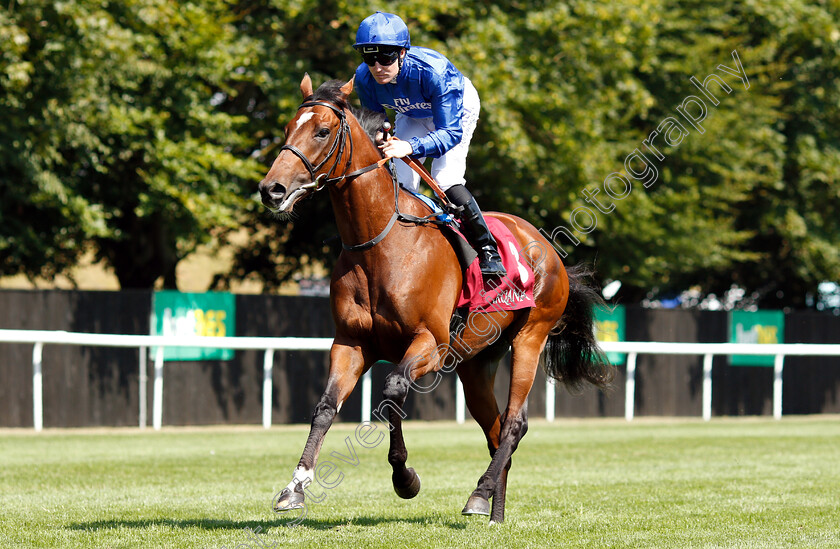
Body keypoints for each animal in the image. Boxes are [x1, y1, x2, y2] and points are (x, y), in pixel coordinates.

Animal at [260, 74, 612, 524]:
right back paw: (494, 513)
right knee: (496, 430)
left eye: (322, 131)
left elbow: (393, 392)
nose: (272, 189)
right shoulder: (351, 343)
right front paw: (295, 487)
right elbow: (324, 407)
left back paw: (479, 494)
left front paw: (404, 479)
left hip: (530, 337)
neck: (381, 243)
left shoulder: (431, 342)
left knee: (514, 423)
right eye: (288, 128)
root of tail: (548, 250)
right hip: (476, 363)